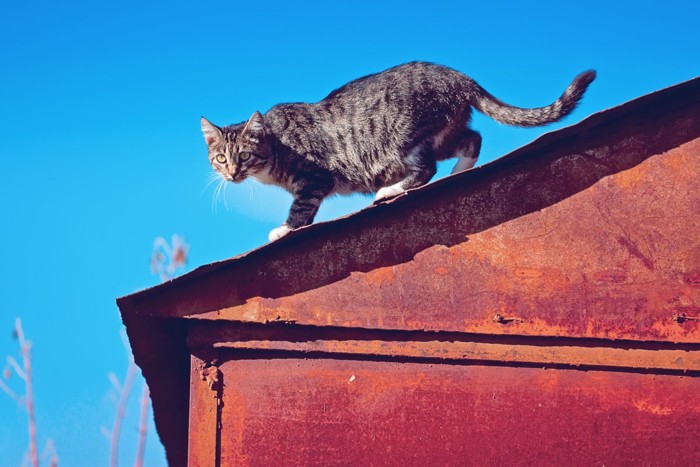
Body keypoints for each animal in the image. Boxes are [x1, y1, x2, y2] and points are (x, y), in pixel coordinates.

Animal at [202, 61, 596, 241]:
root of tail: (457, 76)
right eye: (221, 158)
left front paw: (285, 228)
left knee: (426, 170)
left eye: (244, 156)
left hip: (405, 138)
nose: (231, 174)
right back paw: (460, 171)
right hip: (442, 131)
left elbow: (302, 208)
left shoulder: (315, 176)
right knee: (472, 139)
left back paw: (389, 189)